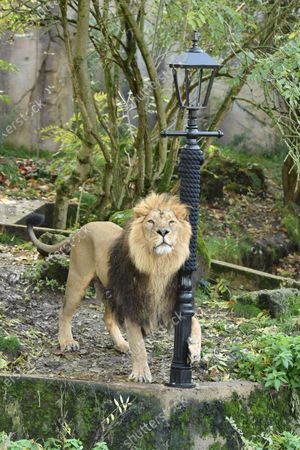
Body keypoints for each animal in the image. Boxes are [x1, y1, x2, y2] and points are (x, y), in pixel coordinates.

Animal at [27, 192, 202, 382]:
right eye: (151, 221)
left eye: (171, 222)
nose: (163, 232)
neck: (158, 264)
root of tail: (82, 228)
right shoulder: (132, 305)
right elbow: (139, 346)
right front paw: (141, 374)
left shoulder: (171, 304)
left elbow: (196, 323)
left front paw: (194, 352)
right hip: (78, 280)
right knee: (64, 311)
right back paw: (67, 342)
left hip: (111, 290)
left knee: (107, 318)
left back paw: (121, 344)